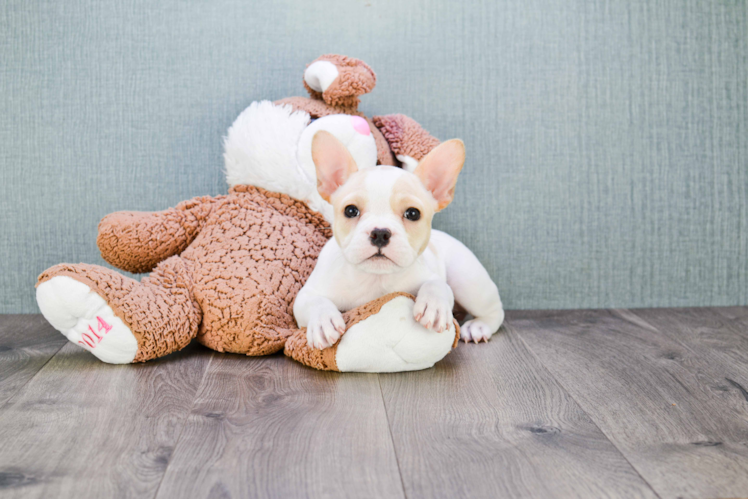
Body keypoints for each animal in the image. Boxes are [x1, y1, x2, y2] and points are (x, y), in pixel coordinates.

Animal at [292, 131, 502, 350]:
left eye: (413, 213)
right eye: (350, 210)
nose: (380, 233)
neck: (375, 278)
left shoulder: (432, 277)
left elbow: (437, 285)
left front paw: (433, 305)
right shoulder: (306, 294)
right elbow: (315, 302)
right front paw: (323, 321)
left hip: (466, 280)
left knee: (494, 310)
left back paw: (478, 327)